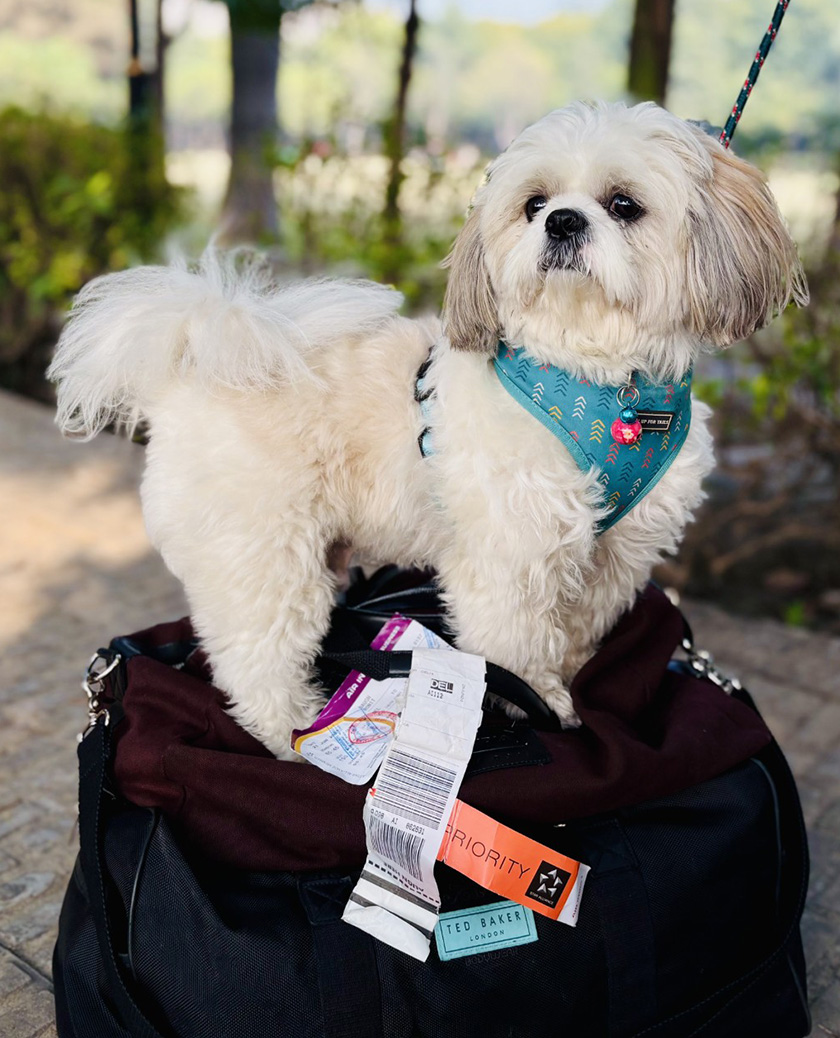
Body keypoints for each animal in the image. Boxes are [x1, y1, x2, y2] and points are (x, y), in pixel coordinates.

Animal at [49, 101, 807, 758]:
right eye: (534, 204)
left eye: (624, 204)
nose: (562, 222)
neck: (598, 378)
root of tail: (196, 360)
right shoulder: (509, 555)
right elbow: (518, 646)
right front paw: (538, 704)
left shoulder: (615, 554)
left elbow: (575, 628)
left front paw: (571, 677)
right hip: (260, 555)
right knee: (255, 659)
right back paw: (293, 736)